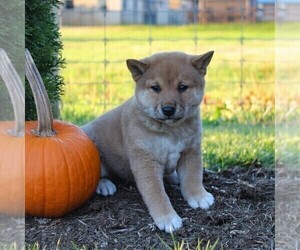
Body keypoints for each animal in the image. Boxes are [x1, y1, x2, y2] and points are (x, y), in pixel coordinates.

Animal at [82, 50, 213, 232]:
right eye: (156, 88)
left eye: (182, 87)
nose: (168, 109)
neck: (171, 130)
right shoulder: (145, 159)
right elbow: (156, 193)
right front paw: (167, 218)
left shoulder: (190, 150)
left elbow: (193, 176)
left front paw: (198, 196)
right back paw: (105, 185)